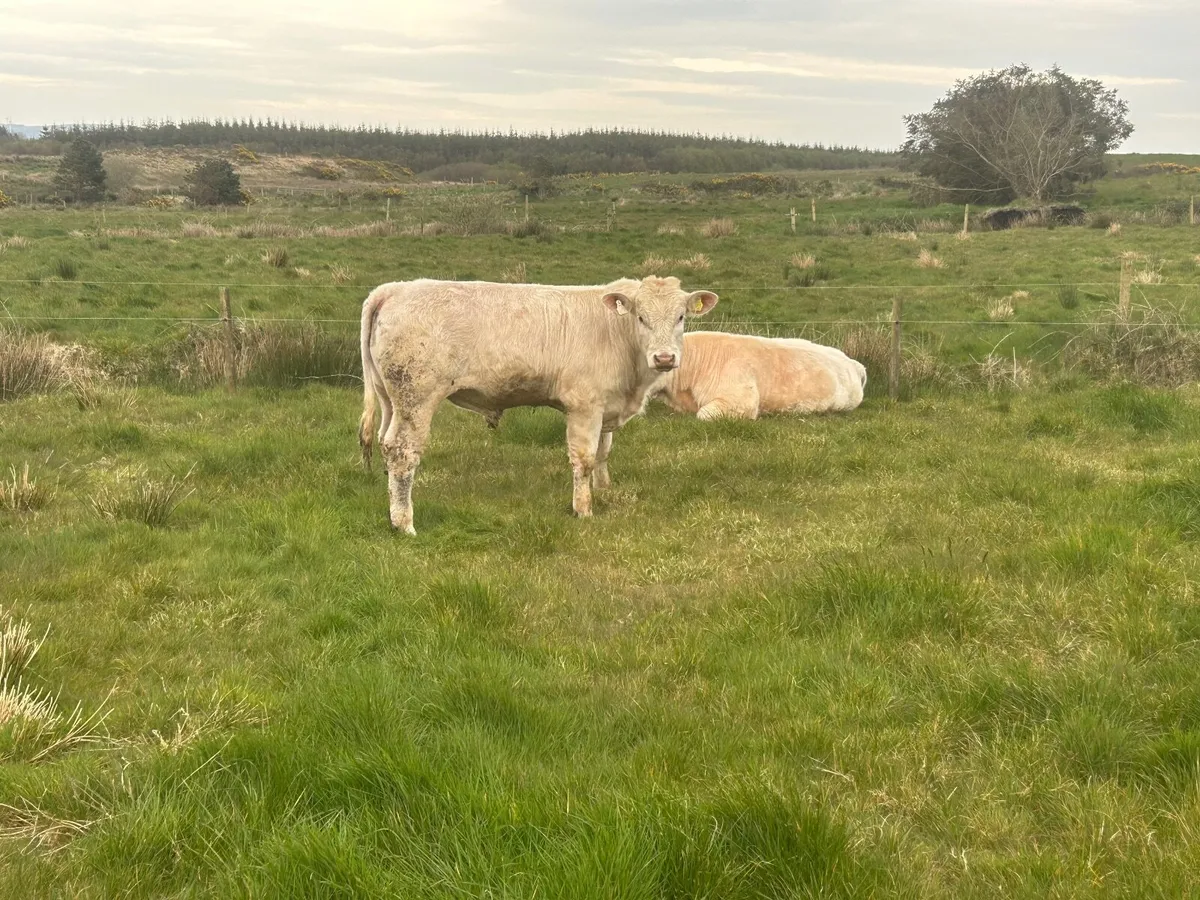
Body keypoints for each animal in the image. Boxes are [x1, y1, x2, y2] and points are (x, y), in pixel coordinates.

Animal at [359, 276, 719, 533]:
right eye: (641, 317)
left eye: (681, 317)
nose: (664, 358)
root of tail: (394, 289)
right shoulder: (584, 406)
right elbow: (584, 459)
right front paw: (583, 510)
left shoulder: (607, 406)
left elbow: (603, 452)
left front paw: (604, 490)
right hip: (416, 398)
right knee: (403, 451)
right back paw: (404, 523)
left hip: (390, 399)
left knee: (385, 443)